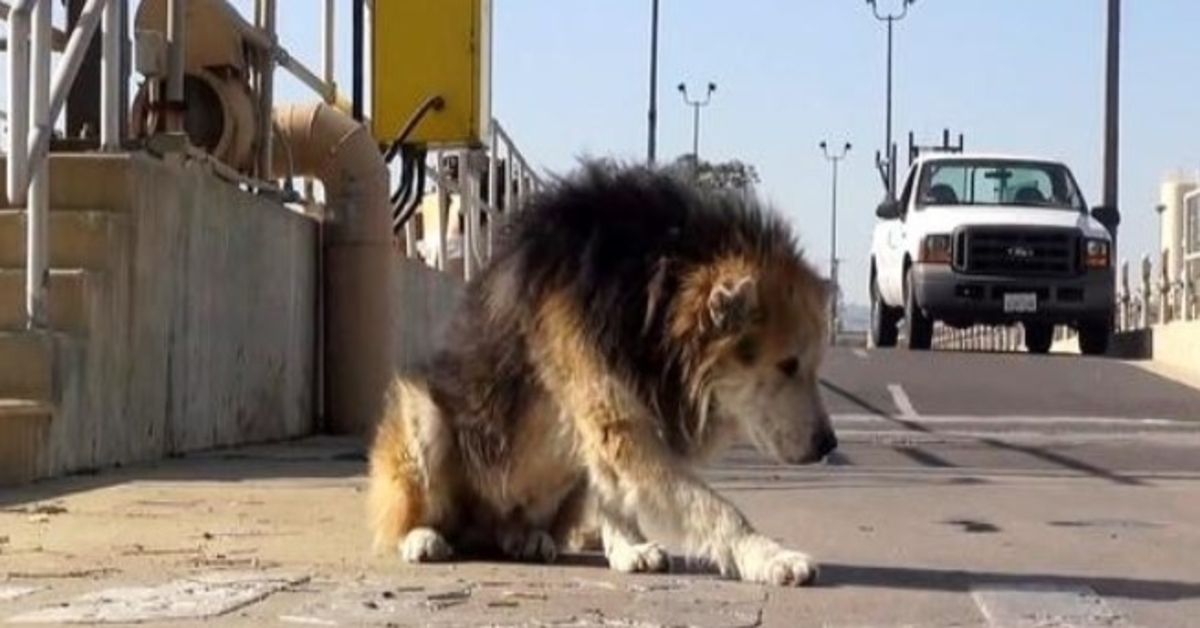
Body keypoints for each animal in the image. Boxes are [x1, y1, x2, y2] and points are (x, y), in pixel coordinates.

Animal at [364, 159, 835, 588]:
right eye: (788, 365)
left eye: (815, 365)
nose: (828, 445)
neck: (656, 284)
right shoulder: (617, 421)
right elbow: (713, 508)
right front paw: (768, 555)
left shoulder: (609, 426)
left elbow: (614, 491)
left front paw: (628, 547)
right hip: (422, 413)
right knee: (412, 512)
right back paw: (422, 536)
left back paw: (525, 537)